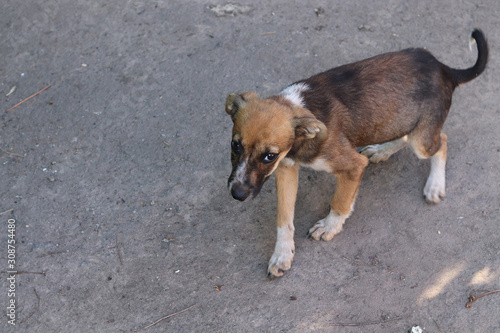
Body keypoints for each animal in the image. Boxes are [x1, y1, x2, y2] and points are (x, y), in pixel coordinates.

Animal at [226, 29, 488, 276]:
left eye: (269, 156)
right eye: (235, 145)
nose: (237, 195)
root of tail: (443, 68)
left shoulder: (352, 165)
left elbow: (340, 201)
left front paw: (329, 226)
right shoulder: (286, 168)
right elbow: (284, 216)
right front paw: (282, 254)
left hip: (422, 139)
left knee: (441, 141)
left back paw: (435, 185)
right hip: (398, 119)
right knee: (406, 136)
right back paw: (382, 150)